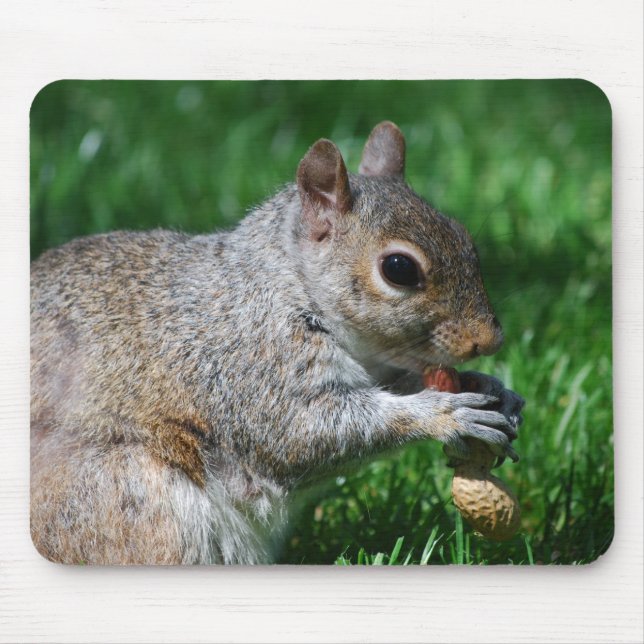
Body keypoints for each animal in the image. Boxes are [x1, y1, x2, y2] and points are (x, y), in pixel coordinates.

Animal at [30, 121, 525, 564]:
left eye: (464, 237)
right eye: (399, 269)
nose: (489, 340)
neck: (287, 283)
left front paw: (493, 389)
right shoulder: (253, 367)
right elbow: (306, 432)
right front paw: (443, 413)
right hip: (128, 503)